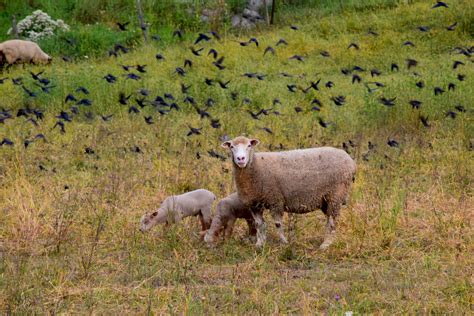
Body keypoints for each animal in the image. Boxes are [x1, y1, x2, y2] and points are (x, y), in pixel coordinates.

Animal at [221, 136, 356, 249]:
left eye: (249, 145)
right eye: (231, 146)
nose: (241, 159)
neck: (255, 166)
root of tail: (351, 161)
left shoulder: (275, 200)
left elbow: (278, 224)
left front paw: (283, 242)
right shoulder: (254, 204)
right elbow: (259, 224)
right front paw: (260, 244)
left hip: (336, 194)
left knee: (333, 221)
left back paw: (326, 245)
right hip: (327, 200)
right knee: (330, 220)